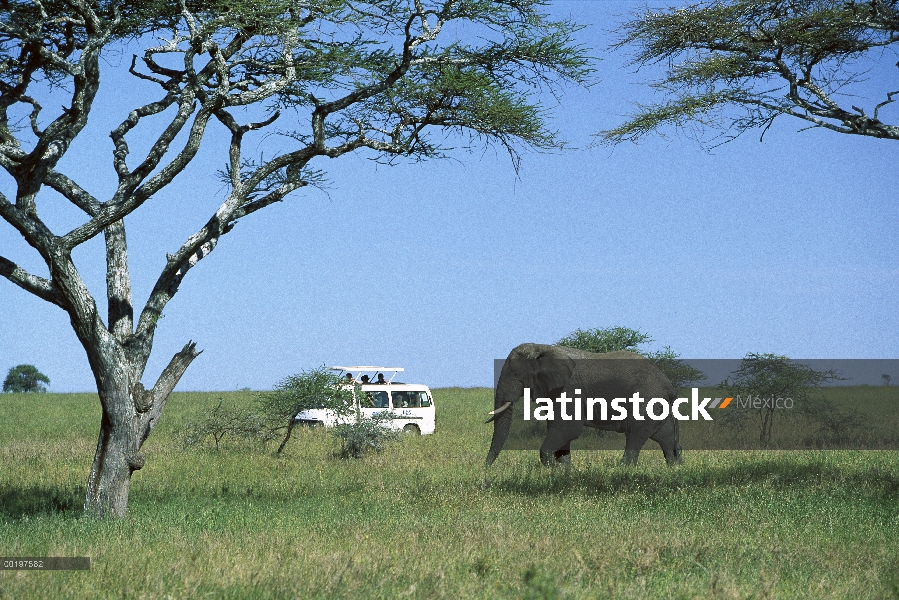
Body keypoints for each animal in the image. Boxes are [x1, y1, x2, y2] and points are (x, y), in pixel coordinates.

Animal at [486, 344, 684, 466]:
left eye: (517, 375)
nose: (485, 468)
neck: (541, 348)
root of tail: (668, 385)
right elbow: (562, 430)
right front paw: (564, 472)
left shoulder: (568, 388)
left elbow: (567, 429)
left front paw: (556, 467)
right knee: (664, 437)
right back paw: (673, 469)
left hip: (647, 400)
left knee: (635, 435)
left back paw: (621, 469)